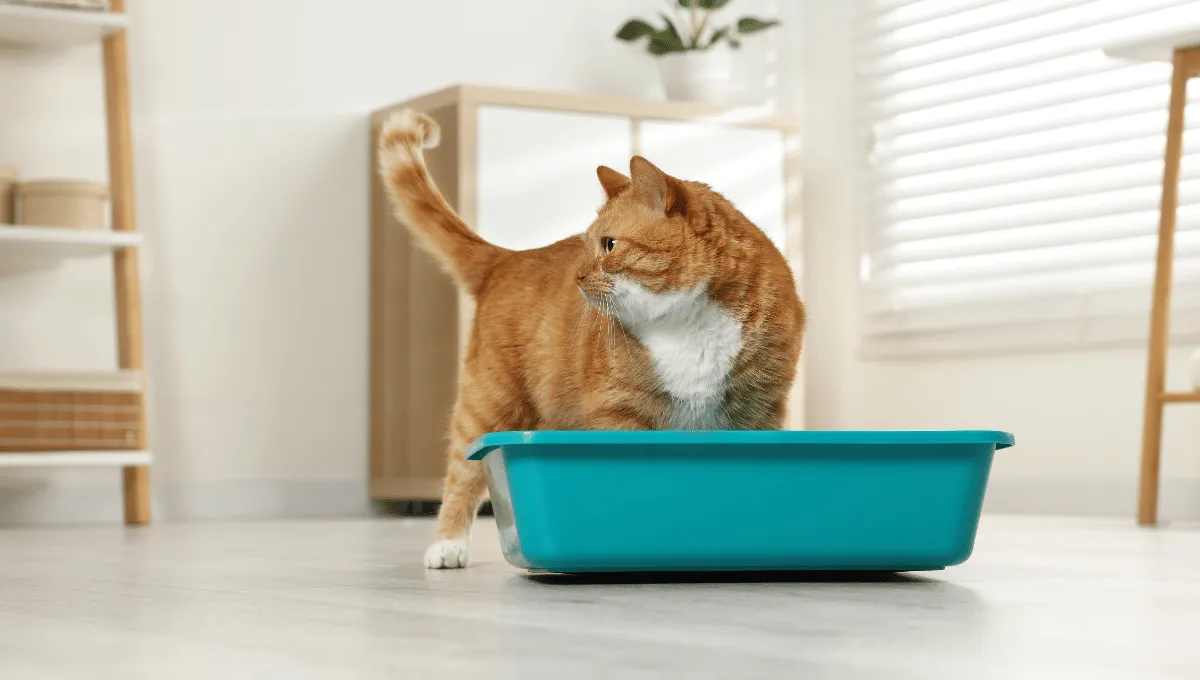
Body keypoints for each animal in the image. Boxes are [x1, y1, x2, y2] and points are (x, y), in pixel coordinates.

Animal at [379, 111, 801, 568]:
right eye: (585, 247)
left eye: (609, 244)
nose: (578, 277)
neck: (687, 324)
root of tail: (508, 257)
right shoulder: (620, 412)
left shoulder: (760, 409)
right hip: (488, 403)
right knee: (462, 471)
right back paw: (447, 544)